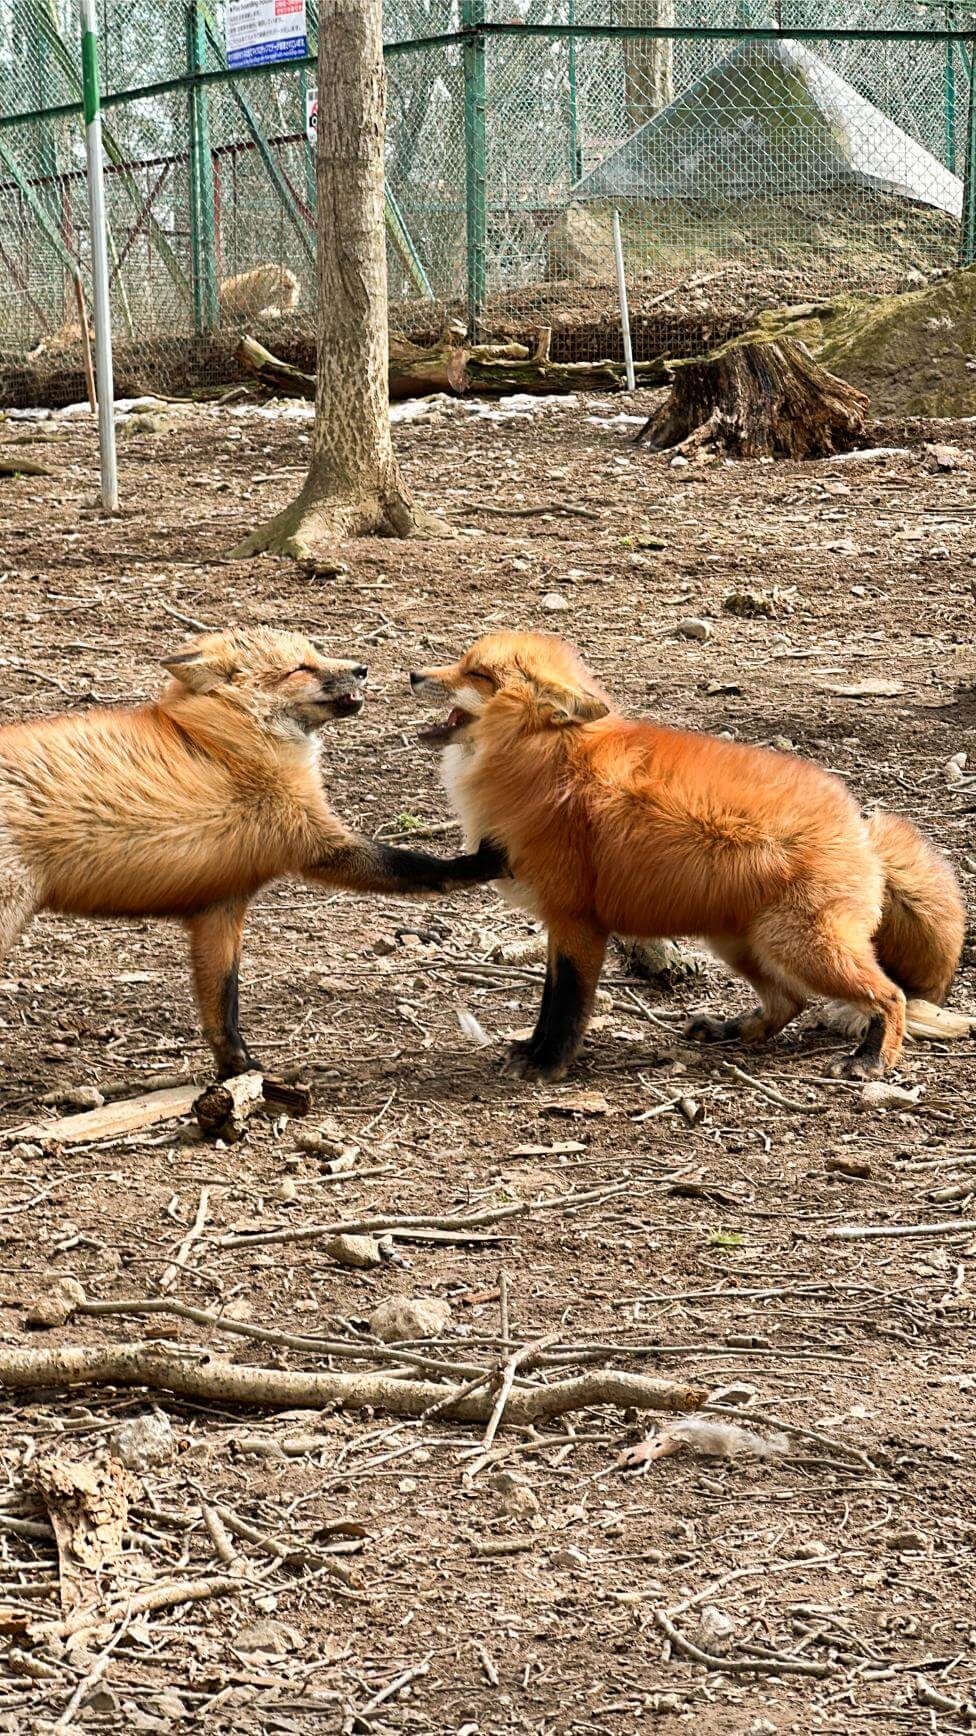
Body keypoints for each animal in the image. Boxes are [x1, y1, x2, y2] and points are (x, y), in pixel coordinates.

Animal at [0, 631, 500, 1076]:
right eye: (301, 668)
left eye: (317, 652)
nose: (362, 668)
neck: (227, 743)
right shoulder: (315, 840)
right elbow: (411, 866)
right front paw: (477, 863)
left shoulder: (221, 905)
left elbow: (222, 1005)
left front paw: (238, 1070)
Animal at [409, 631, 965, 1076]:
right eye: (462, 662)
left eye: (477, 674)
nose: (414, 674)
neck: (545, 761)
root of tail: (859, 827)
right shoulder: (560, 922)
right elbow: (550, 1000)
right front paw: (533, 1050)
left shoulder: (576, 920)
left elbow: (565, 1003)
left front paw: (547, 1064)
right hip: (743, 944)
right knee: (789, 1001)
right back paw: (732, 1030)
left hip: (803, 946)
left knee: (888, 995)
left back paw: (871, 1059)